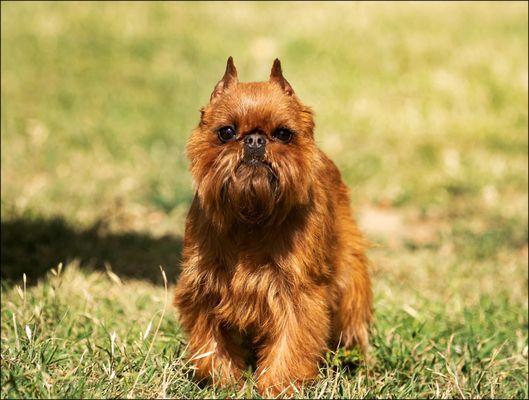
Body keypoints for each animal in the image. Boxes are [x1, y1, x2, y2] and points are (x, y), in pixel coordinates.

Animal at [173, 57, 372, 396]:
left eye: (283, 133)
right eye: (226, 132)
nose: (255, 140)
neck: (251, 217)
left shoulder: (297, 295)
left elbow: (290, 344)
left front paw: (278, 386)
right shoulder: (205, 287)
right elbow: (211, 341)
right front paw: (223, 381)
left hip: (349, 273)